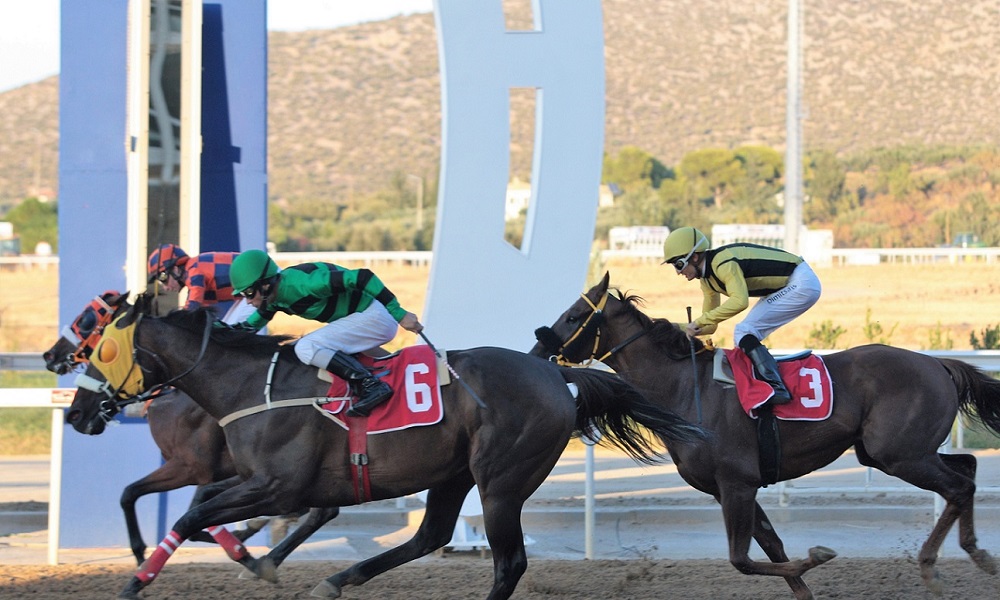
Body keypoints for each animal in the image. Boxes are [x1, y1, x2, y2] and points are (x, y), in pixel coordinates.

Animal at [68, 292, 704, 596]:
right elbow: (196, 511)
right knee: (431, 536)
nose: (76, 412)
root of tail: (554, 374)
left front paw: (138, 579)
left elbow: (193, 514)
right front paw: (245, 557)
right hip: (454, 474)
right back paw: (334, 581)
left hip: (501, 480)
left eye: (102, 350)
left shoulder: (275, 485)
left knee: (509, 562)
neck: (252, 385)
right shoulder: (248, 479)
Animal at [536, 274, 1000, 600]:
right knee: (968, 467)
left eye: (574, 316)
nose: (540, 350)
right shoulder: (729, 488)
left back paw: (934, 565)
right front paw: (807, 582)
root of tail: (938, 364)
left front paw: (818, 555)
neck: (685, 388)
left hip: (900, 454)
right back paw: (976, 552)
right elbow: (772, 545)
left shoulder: (737, 483)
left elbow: (741, 559)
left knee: (958, 486)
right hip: (895, 452)